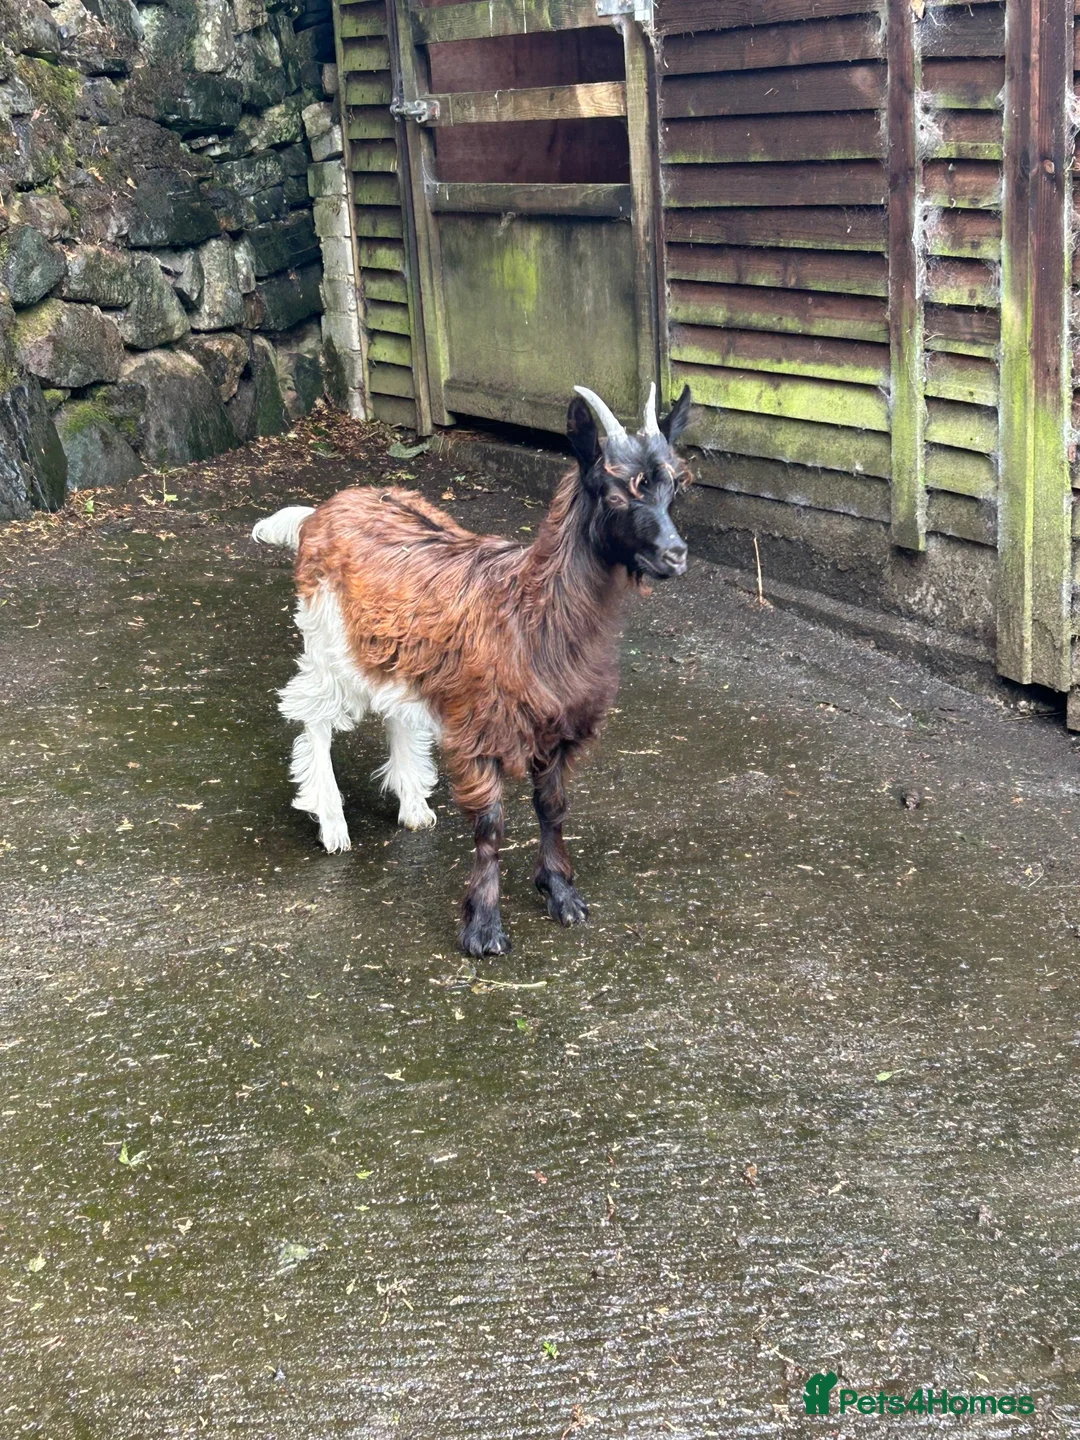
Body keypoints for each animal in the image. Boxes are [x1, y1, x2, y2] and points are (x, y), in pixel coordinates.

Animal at [252, 382, 693, 957]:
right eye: (615, 493)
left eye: (673, 490)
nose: (676, 554)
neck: (532, 610)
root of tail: (320, 513)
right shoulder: (480, 728)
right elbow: (490, 826)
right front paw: (483, 929)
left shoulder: (558, 727)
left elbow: (553, 807)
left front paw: (561, 895)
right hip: (328, 640)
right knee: (313, 716)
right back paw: (332, 824)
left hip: (397, 647)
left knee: (395, 711)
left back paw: (414, 807)